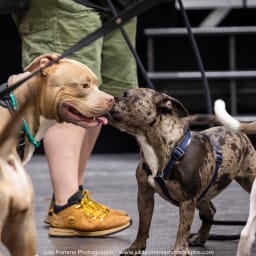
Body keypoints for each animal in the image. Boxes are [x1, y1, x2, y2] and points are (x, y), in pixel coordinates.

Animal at [106, 87, 256, 254]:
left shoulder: (187, 200)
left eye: (126, 94)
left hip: (247, 180)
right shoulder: (144, 195)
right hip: (202, 196)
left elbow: (183, 227)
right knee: (209, 211)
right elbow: (143, 223)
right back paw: (200, 238)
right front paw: (136, 247)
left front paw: (179, 249)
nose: (110, 98)